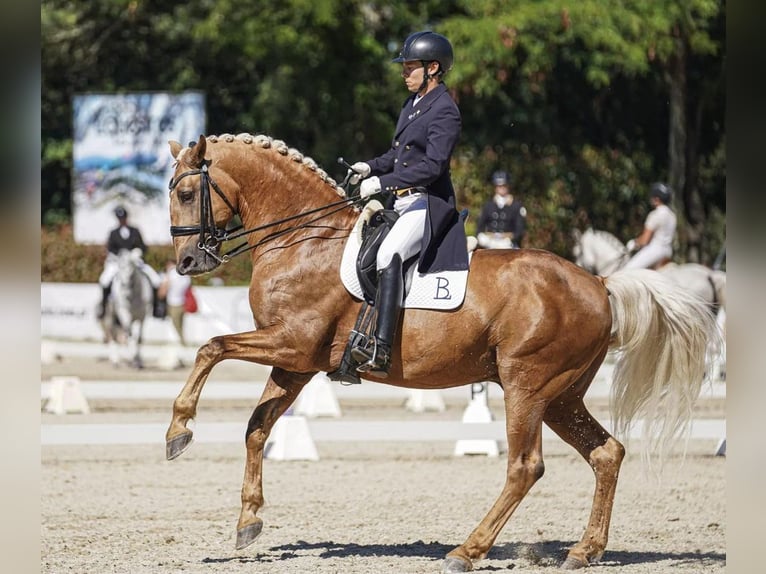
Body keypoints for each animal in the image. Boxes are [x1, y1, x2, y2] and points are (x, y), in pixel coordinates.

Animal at [164, 134, 720, 572]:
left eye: (188, 193)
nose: (188, 262)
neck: (303, 240)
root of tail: (600, 284)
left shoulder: (291, 341)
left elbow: (210, 348)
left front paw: (179, 432)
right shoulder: (297, 363)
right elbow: (256, 427)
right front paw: (248, 520)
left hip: (527, 386)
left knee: (526, 466)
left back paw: (467, 551)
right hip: (562, 397)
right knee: (606, 453)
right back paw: (584, 551)